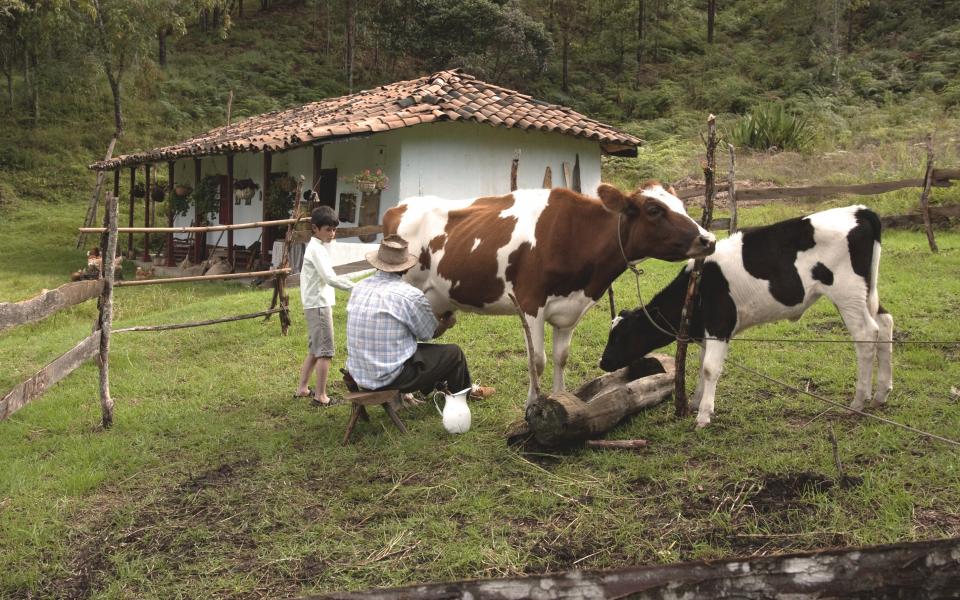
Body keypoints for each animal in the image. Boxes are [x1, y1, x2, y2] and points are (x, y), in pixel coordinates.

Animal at [382, 182, 716, 408]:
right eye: (654, 210)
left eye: (682, 206)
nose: (709, 239)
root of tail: (398, 207)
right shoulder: (530, 304)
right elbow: (537, 360)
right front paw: (533, 404)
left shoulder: (568, 309)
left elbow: (561, 357)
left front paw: (559, 398)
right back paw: (404, 398)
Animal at [600, 205, 894, 427]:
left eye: (620, 336)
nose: (603, 362)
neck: (697, 285)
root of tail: (859, 210)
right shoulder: (708, 329)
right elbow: (703, 364)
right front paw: (696, 402)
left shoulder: (719, 324)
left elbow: (710, 368)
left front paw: (703, 415)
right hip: (867, 292)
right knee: (885, 323)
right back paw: (880, 394)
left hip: (847, 293)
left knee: (866, 334)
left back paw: (858, 402)